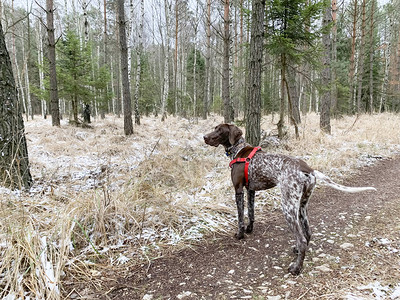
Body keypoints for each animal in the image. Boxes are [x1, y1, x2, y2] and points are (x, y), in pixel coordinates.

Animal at [205, 123, 376, 276]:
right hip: (301, 206)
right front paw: (249, 229)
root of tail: (309, 170)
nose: (204, 137)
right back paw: (297, 251)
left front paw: (240, 234)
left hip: (288, 207)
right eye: (214, 128)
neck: (239, 149)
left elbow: (240, 217)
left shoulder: (239, 190)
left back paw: (296, 268)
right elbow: (251, 213)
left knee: (302, 239)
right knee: (307, 234)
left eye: (219, 129)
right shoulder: (251, 190)